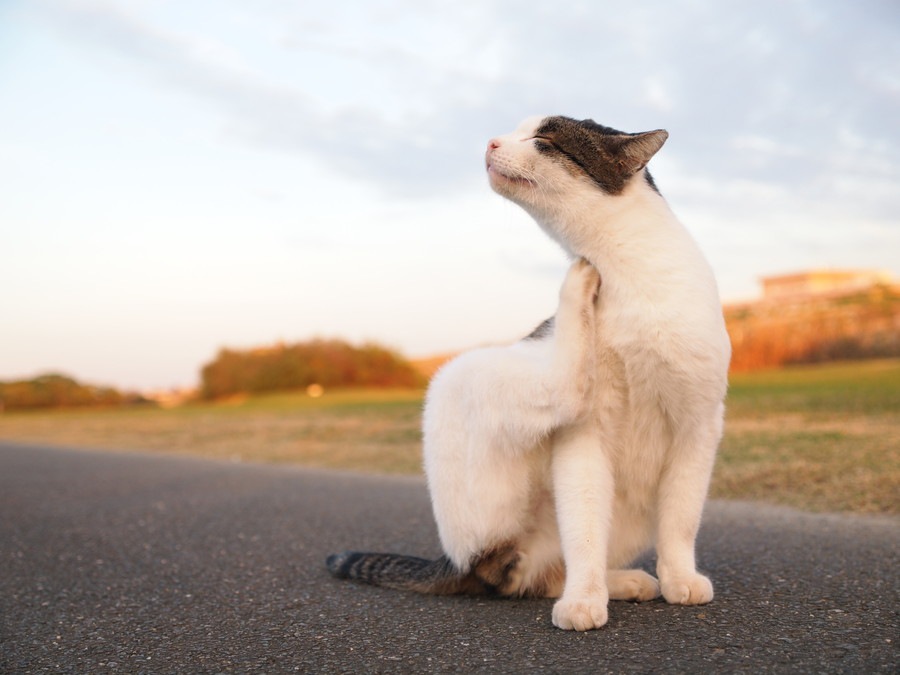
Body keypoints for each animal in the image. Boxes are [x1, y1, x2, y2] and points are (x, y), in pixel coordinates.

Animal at [326, 115, 728, 632]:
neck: (622, 271)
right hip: (461, 380)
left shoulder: (699, 426)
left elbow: (680, 520)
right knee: (525, 570)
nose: (491, 142)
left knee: (542, 576)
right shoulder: (584, 439)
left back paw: (627, 582)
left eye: (543, 140)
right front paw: (584, 600)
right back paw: (576, 284)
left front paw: (680, 579)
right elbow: (584, 533)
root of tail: (456, 561)